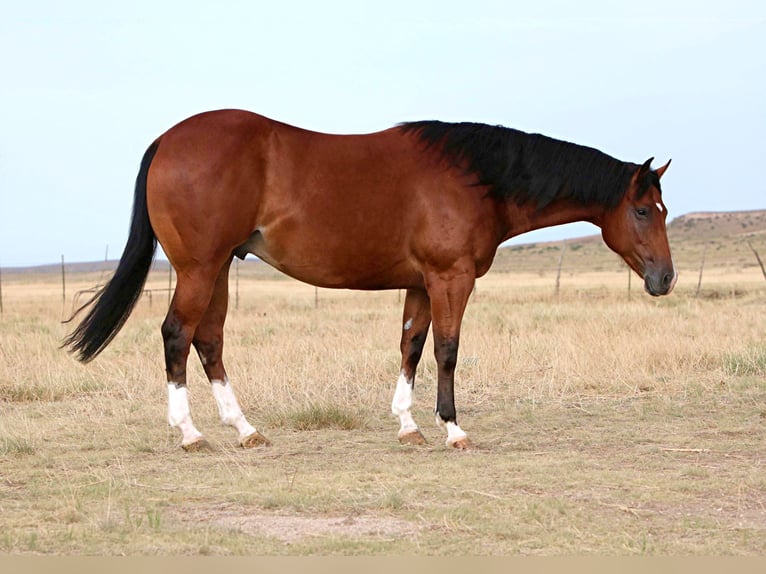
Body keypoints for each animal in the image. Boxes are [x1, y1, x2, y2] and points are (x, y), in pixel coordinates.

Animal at [66, 108, 680, 450]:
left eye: (664, 209)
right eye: (643, 210)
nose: (665, 279)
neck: (475, 178)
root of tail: (167, 140)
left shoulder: (421, 283)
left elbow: (411, 345)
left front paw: (408, 425)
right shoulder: (451, 278)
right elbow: (448, 349)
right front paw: (453, 429)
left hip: (217, 269)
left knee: (208, 341)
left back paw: (245, 430)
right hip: (199, 267)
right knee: (177, 335)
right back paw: (190, 433)